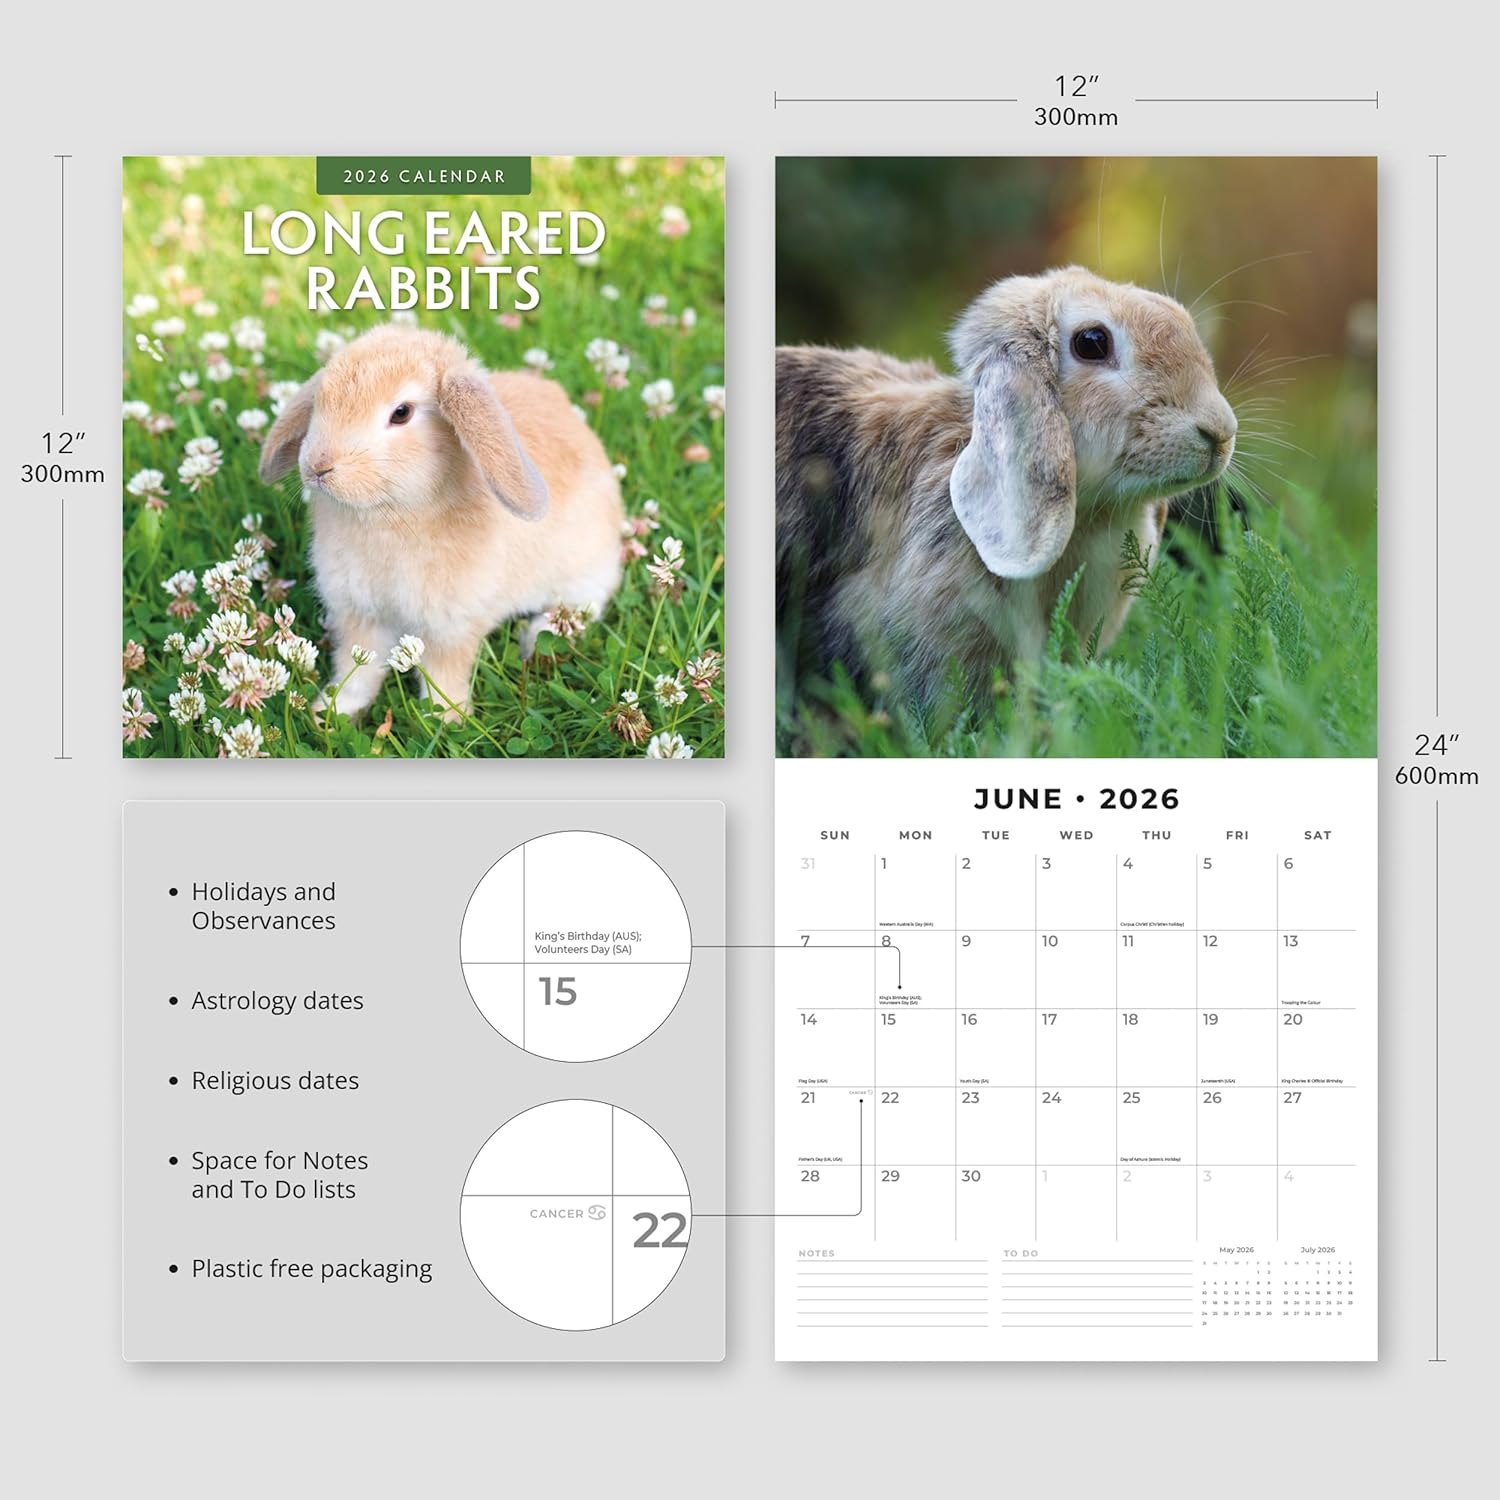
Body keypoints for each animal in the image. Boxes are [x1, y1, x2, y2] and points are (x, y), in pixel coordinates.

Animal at [259, 323, 624, 720]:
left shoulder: (451, 627)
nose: (318, 465)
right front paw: (331, 711)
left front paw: (448, 720)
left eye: (401, 413)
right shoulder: (360, 615)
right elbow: (356, 669)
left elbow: (443, 676)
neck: (390, 516)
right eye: (320, 399)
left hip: (582, 574)